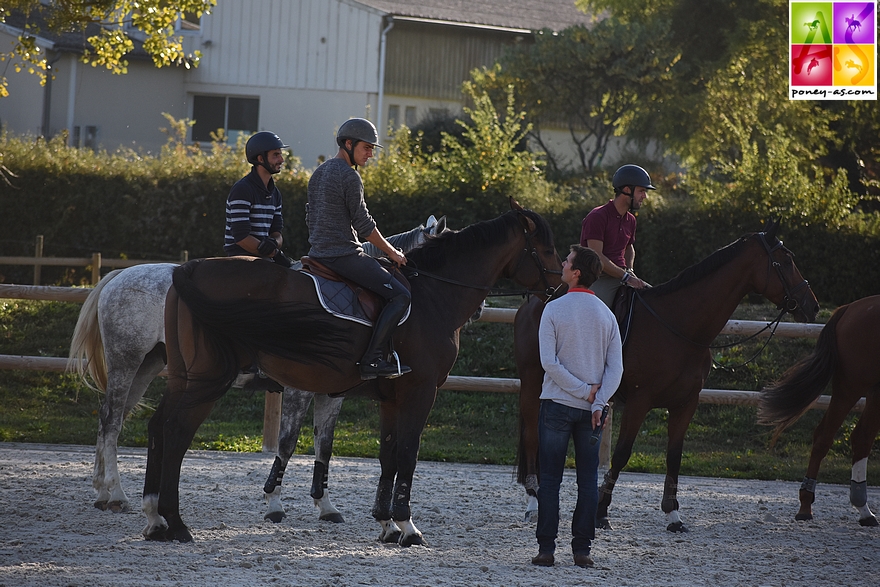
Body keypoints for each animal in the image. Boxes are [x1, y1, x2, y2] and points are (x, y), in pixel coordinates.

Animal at [141, 203, 560, 548]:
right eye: (547, 250)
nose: (558, 287)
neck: (430, 295)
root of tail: (190, 268)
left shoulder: (387, 396)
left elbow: (384, 455)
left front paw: (385, 525)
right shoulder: (418, 391)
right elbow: (405, 453)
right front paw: (407, 527)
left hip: (185, 378)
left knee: (158, 426)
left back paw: (155, 519)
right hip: (207, 380)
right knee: (176, 432)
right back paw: (175, 523)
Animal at [516, 220, 820, 532]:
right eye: (786, 260)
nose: (813, 305)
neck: (679, 326)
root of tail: (536, 301)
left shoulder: (686, 403)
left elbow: (674, 455)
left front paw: (673, 513)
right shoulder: (639, 401)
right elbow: (622, 453)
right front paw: (601, 510)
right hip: (532, 383)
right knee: (531, 438)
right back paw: (533, 501)